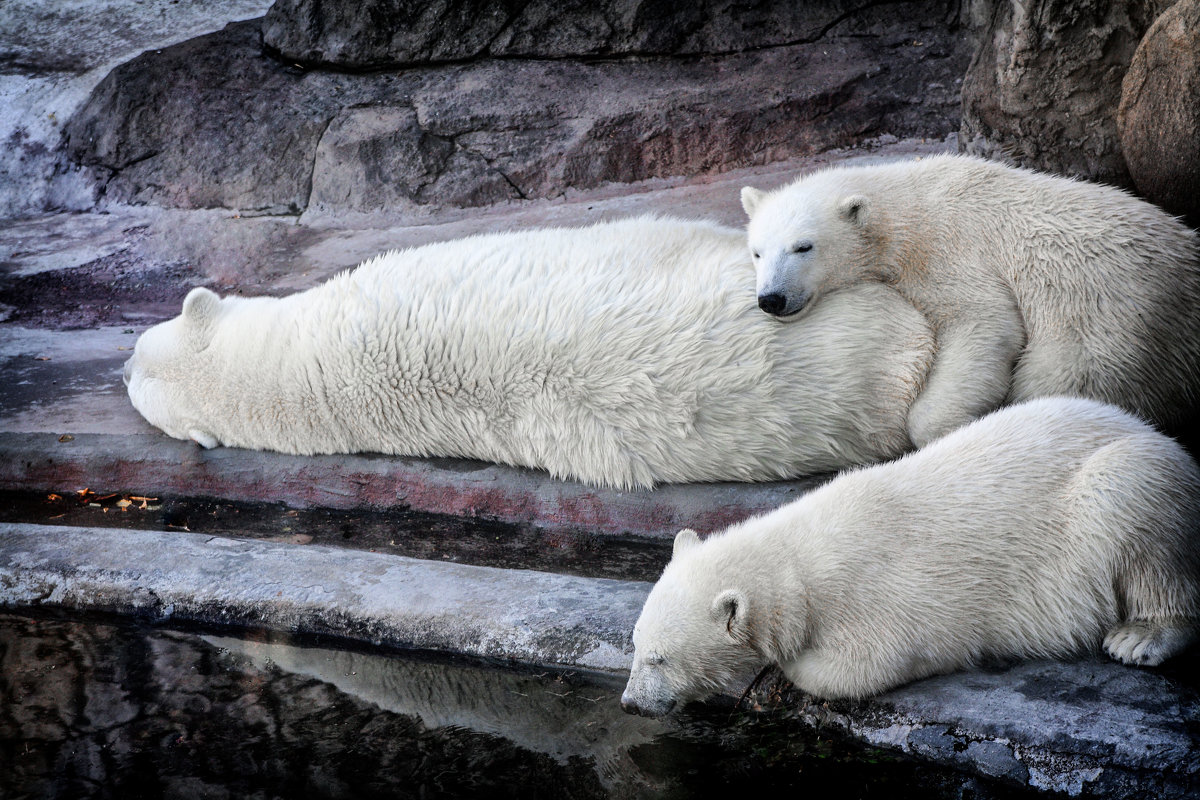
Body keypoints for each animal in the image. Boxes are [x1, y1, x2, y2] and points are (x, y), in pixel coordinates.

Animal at [624, 393, 1200, 714]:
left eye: (659, 658)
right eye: (635, 646)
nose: (631, 702)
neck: (799, 559)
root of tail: (1139, 424)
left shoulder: (878, 595)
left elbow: (863, 664)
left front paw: (786, 667)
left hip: (1129, 479)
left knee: (1133, 507)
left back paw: (1140, 637)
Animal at [734, 153, 1200, 448]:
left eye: (803, 247)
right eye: (757, 251)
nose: (772, 299)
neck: (903, 211)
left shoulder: (948, 251)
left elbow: (985, 321)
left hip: (1112, 318)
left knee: (1060, 375)